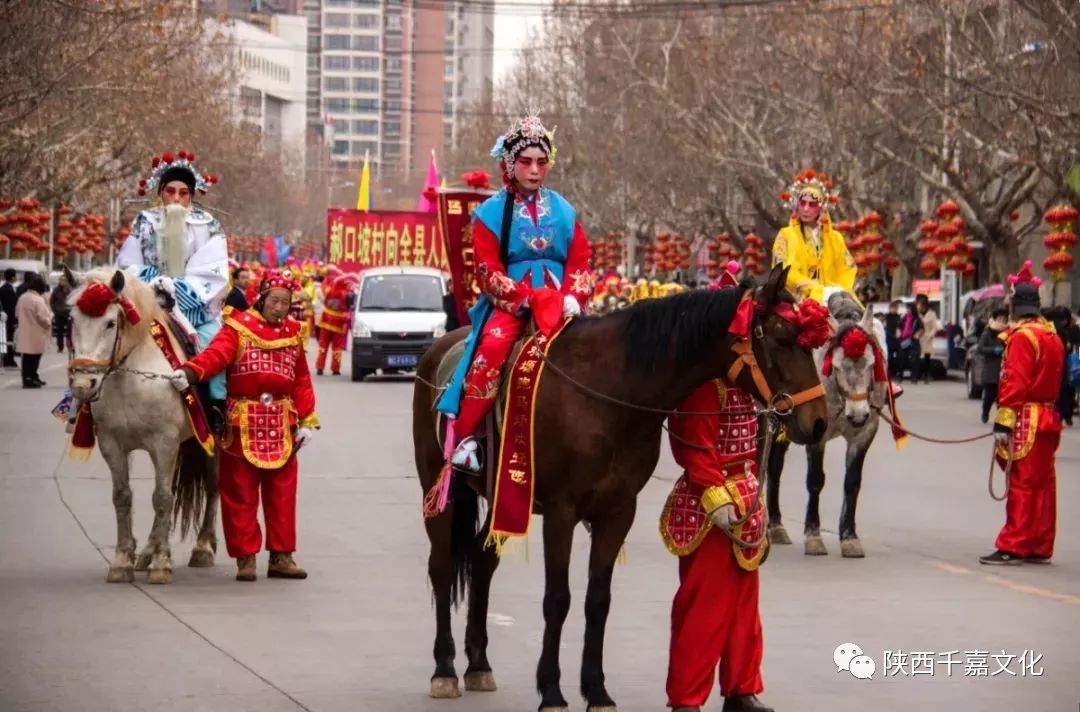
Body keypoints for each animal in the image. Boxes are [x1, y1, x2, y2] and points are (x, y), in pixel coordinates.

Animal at [66, 267, 217, 583]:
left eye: (111, 323)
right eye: (72, 320)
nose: (84, 385)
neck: (131, 376)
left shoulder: (164, 442)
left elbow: (161, 497)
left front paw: (161, 563)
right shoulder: (111, 444)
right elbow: (123, 497)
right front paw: (123, 560)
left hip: (209, 440)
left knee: (211, 486)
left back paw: (202, 547)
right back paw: (147, 552)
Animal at [408, 264, 820, 708]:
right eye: (783, 338)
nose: (818, 421)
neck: (610, 392)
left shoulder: (619, 509)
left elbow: (598, 600)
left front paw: (596, 689)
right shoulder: (561, 511)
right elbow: (558, 599)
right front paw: (552, 691)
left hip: (506, 497)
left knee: (483, 561)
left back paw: (479, 663)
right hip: (439, 485)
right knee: (442, 566)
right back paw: (445, 669)